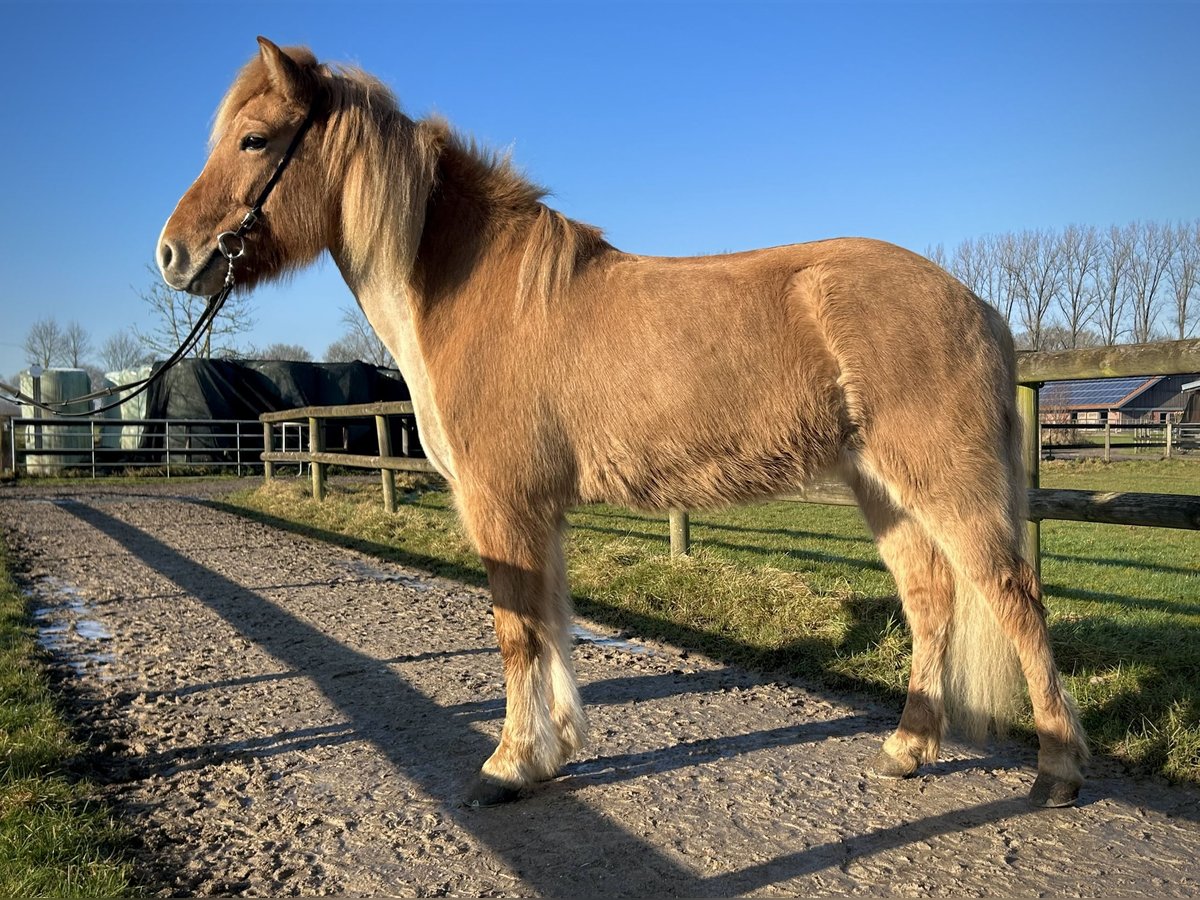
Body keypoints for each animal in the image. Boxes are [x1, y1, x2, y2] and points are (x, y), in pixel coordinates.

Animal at [157, 37, 1089, 811]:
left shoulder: (502, 505)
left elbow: (515, 629)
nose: (173, 253)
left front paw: (508, 765)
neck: (477, 295)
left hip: (945, 484)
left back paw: (1057, 772)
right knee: (931, 600)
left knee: (1013, 598)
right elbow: (551, 623)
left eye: (255, 140)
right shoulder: (538, 512)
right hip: (882, 489)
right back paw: (906, 749)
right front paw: (554, 749)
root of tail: (979, 307)